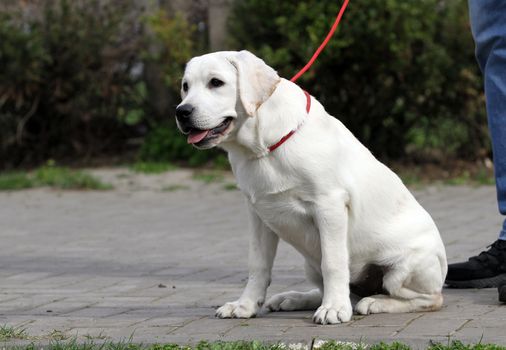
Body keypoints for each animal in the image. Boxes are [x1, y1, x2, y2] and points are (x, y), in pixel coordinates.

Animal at [175, 50, 446, 324]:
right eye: (185, 86)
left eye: (216, 82)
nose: (182, 112)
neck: (262, 148)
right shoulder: (258, 213)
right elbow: (258, 264)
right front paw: (245, 305)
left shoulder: (330, 205)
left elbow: (334, 263)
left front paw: (334, 309)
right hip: (310, 264)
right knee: (336, 290)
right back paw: (294, 298)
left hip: (405, 266)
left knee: (429, 299)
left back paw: (375, 302)